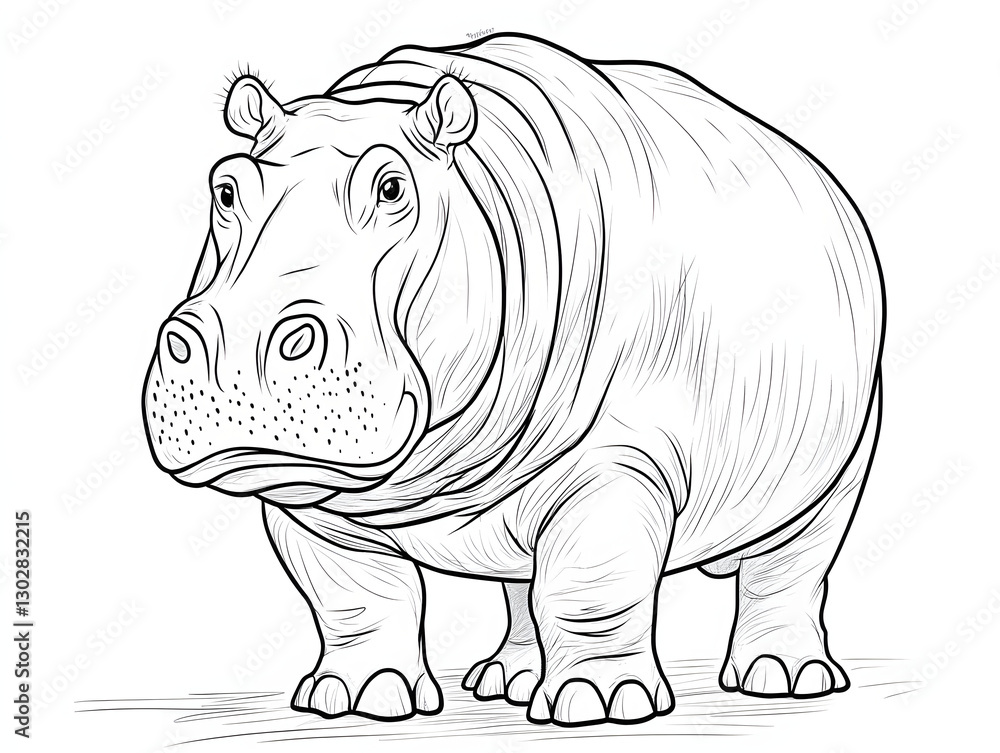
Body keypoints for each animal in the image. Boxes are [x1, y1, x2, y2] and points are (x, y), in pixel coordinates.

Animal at [142, 33, 884, 727]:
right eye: (225, 188)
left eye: (392, 188)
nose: (234, 346)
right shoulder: (313, 499)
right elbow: (356, 594)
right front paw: (356, 700)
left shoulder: (614, 462)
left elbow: (591, 584)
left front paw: (599, 704)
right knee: (518, 579)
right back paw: (505, 683)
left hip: (846, 450)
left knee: (792, 562)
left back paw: (780, 680)